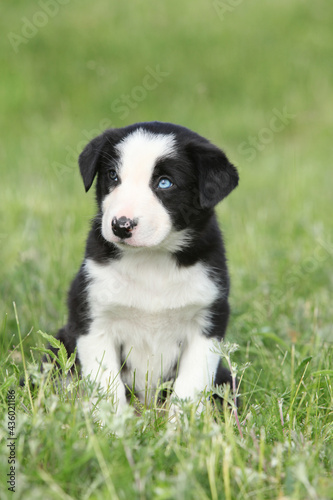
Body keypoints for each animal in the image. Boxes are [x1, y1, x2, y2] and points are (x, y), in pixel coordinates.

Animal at [55, 122, 239, 414]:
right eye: (113, 176)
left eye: (165, 182)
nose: (121, 225)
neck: (151, 260)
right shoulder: (92, 317)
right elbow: (107, 385)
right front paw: (113, 424)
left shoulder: (208, 320)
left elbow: (189, 387)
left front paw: (180, 426)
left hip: (225, 378)